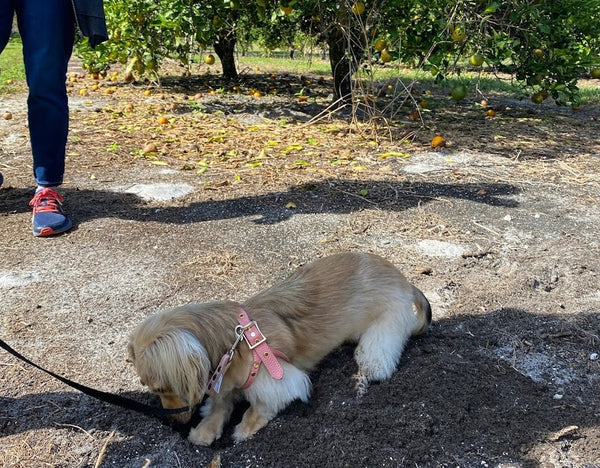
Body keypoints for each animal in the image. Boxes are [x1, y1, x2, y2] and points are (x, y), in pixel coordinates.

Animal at [126, 252, 432, 446]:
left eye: (162, 388)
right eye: (150, 388)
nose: (173, 425)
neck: (235, 343)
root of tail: (404, 281)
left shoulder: (277, 379)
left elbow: (261, 404)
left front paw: (247, 425)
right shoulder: (225, 383)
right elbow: (220, 405)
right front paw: (205, 430)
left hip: (383, 329)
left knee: (377, 354)